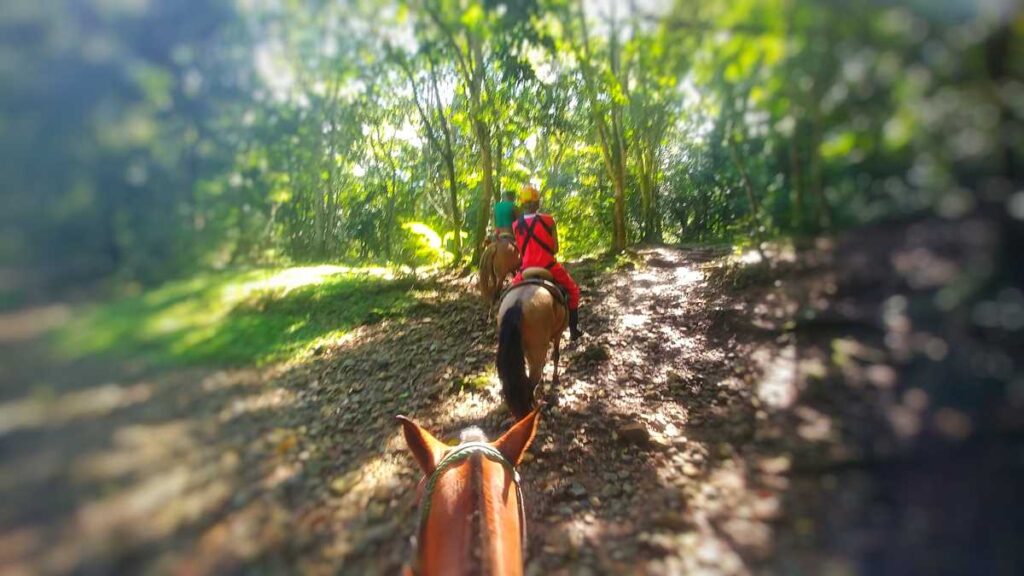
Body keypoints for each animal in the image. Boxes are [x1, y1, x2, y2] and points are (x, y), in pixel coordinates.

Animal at [495, 268, 569, 416]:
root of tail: (518, 303)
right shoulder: (558, 334)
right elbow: (556, 355)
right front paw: (555, 379)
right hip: (537, 349)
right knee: (530, 382)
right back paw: (535, 409)